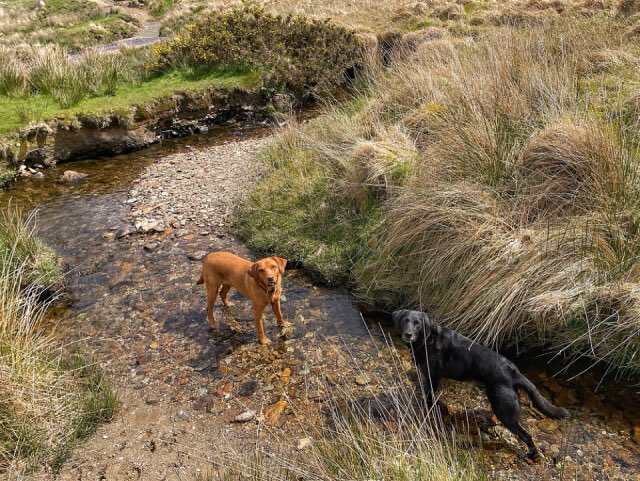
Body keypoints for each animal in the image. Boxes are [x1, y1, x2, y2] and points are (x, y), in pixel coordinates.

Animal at [396, 308, 568, 458]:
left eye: (418, 323)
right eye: (405, 320)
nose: (408, 334)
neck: (427, 339)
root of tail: (513, 371)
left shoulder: (431, 377)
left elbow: (429, 396)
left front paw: (425, 405)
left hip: (504, 410)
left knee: (526, 435)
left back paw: (531, 454)